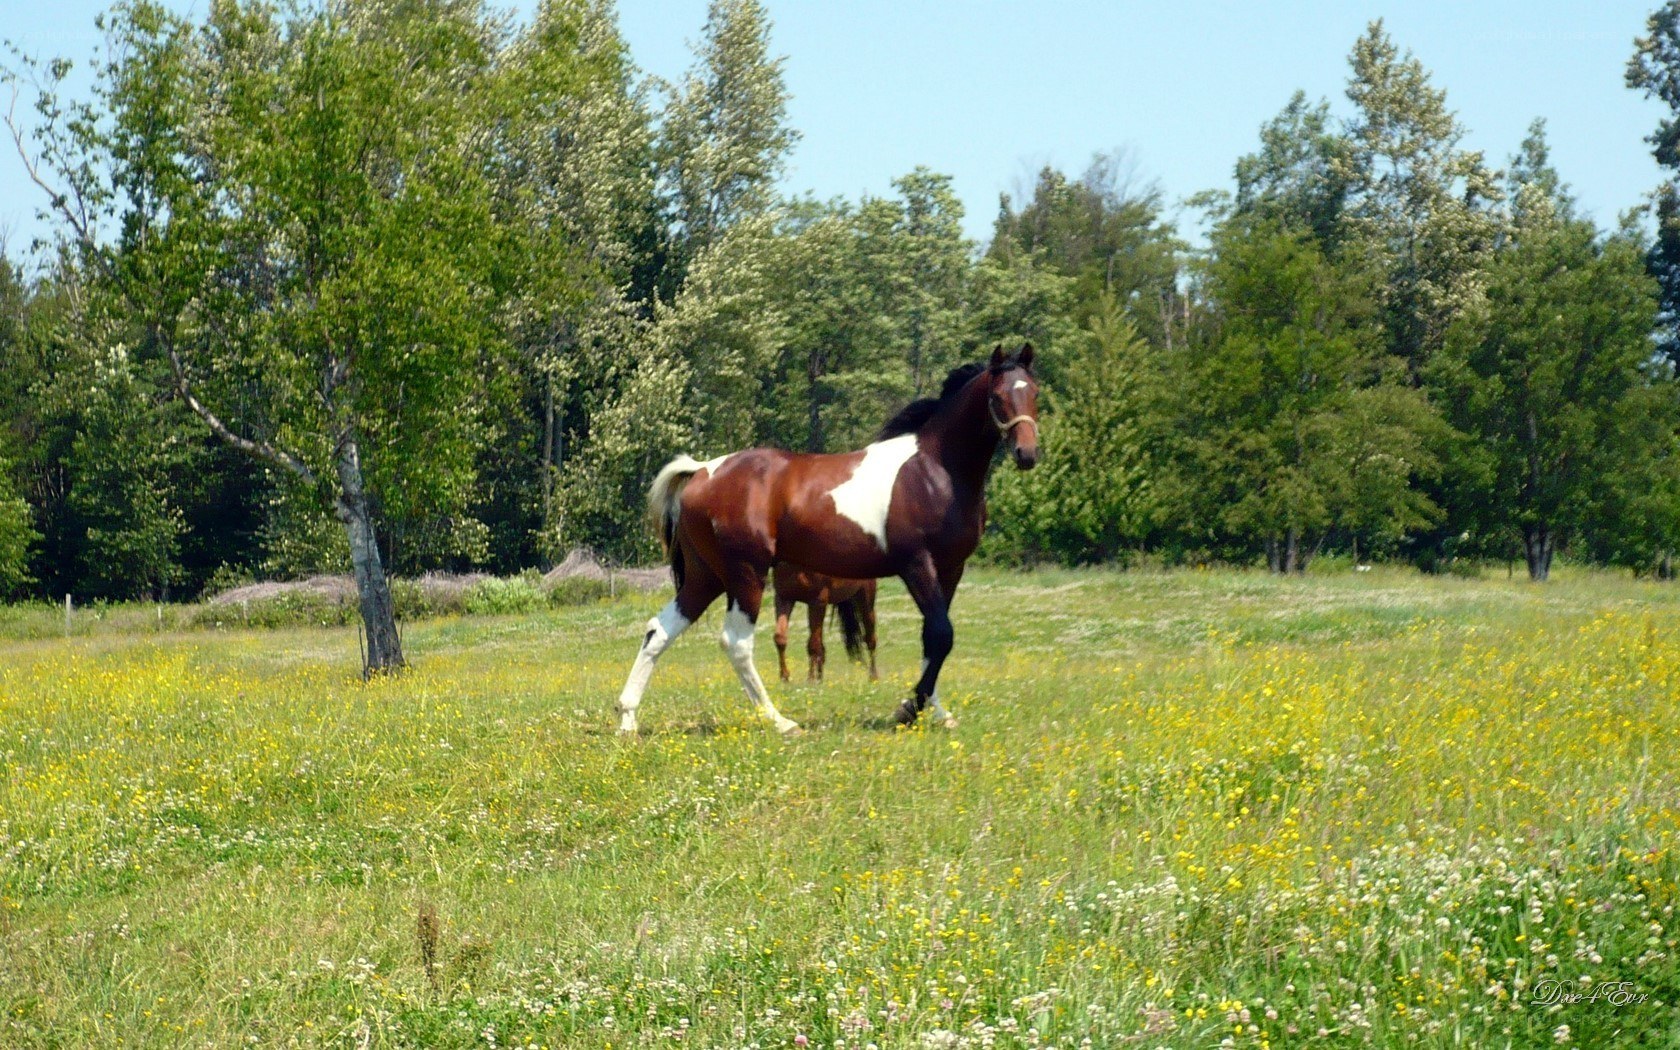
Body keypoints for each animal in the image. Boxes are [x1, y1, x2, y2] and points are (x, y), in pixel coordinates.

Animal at [614, 343, 1039, 735]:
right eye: (997, 396)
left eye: (1034, 391)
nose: (1027, 454)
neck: (934, 471)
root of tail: (702, 470)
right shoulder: (916, 564)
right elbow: (941, 634)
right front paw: (909, 709)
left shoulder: (950, 569)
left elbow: (932, 637)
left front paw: (933, 710)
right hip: (746, 575)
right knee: (736, 643)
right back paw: (780, 722)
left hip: (707, 577)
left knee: (658, 631)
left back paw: (628, 719)